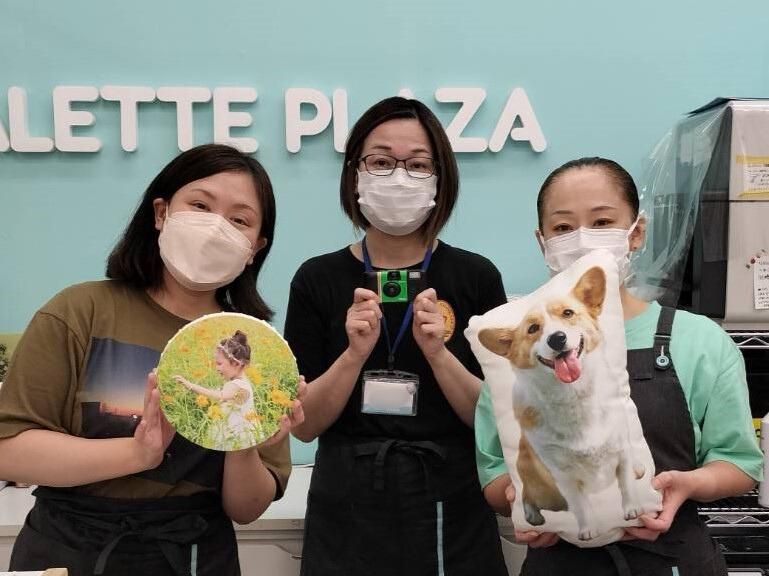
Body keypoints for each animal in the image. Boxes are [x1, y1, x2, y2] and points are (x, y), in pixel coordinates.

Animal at [479, 266, 646, 540]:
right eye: (533, 329)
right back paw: (532, 516)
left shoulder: (620, 451)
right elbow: (581, 505)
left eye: (568, 313)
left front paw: (634, 510)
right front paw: (588, 530)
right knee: (527, 495)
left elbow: (627, 485)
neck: (573, 396)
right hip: (540, 486)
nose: (557, 338)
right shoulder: (564, 475)